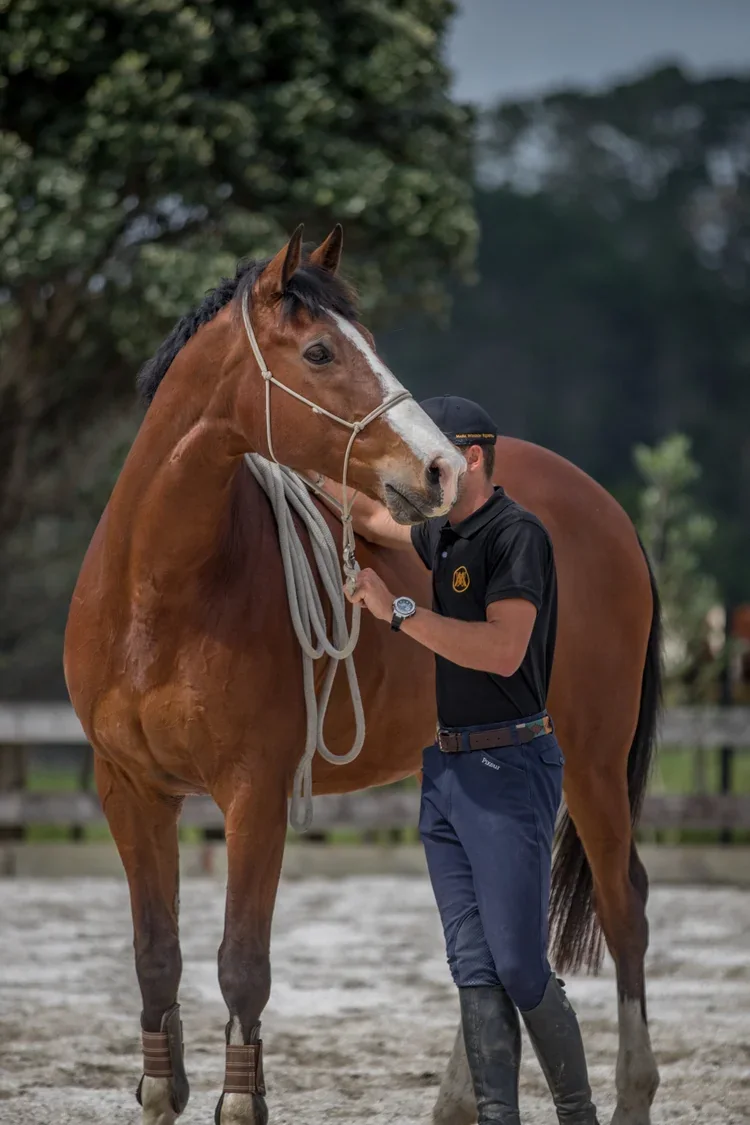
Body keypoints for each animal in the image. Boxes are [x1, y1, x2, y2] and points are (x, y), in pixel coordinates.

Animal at [64, 226, 661, 1125]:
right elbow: (155, 956)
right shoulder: (129, 788)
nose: (441, 469)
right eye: (319, 351)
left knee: (624, 912)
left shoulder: (254, 792)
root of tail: (609, 511)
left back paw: (630, 1092)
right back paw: (458, 1096)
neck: (158, 592)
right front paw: (162, 1090)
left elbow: (242, 961)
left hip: (594, 764)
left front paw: (241, 1101)